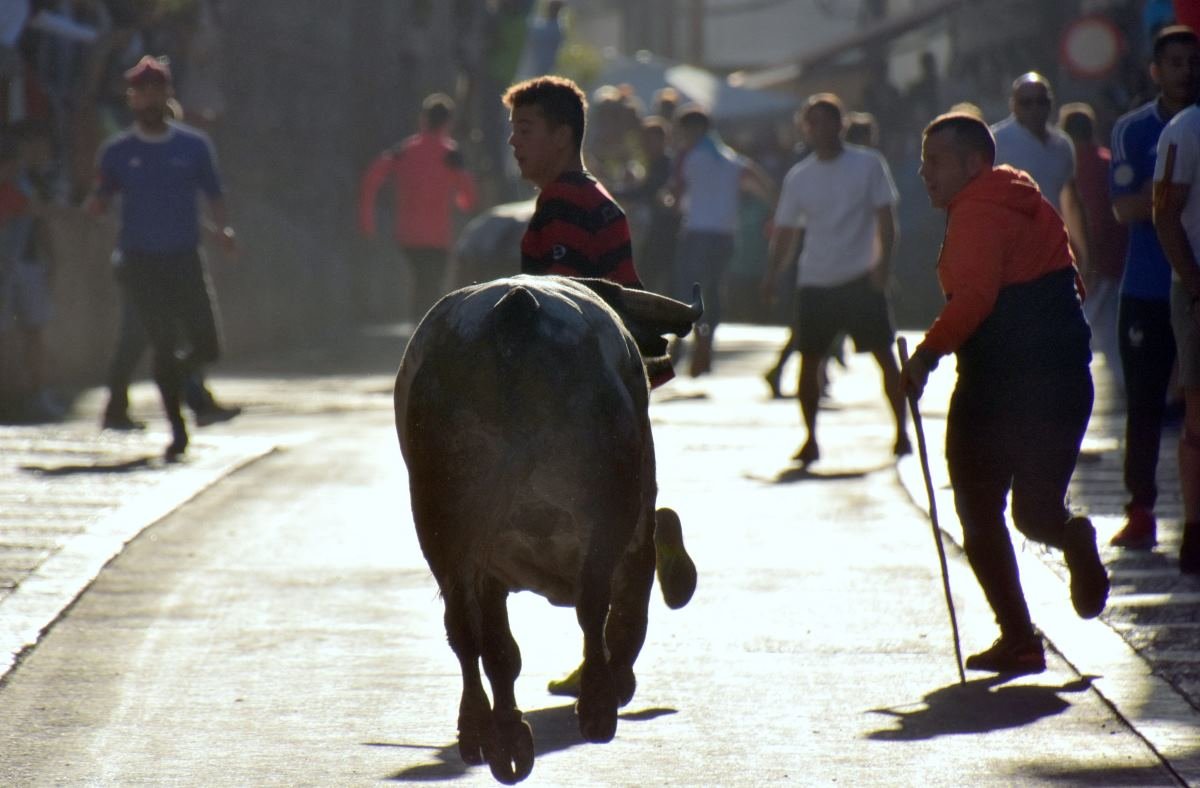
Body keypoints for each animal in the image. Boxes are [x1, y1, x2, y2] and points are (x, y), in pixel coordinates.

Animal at [393, 273, 700, 777]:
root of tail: (516, 309)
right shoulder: (637, 525)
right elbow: (628, 611)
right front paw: (617, 681)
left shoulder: (489, 569)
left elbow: (498, 647)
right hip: (608, 505)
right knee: (593, 606)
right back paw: (596, 706)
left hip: (442, 522)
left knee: (467, 631)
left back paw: (490, 735)